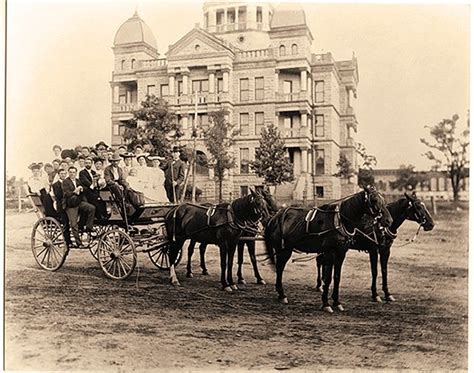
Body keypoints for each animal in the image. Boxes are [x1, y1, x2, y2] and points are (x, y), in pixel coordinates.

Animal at [262, 185, 392, 310]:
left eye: (383, 200)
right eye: (374, 200)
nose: (389, 220)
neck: (340, 221)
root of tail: (275, 217)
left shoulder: (341, 252)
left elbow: (337, 277)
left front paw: (336, 301)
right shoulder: (330, 252)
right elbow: (328, 278)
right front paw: (326, 304)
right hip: (284, 250)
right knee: (279, 268)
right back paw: (282, 294)